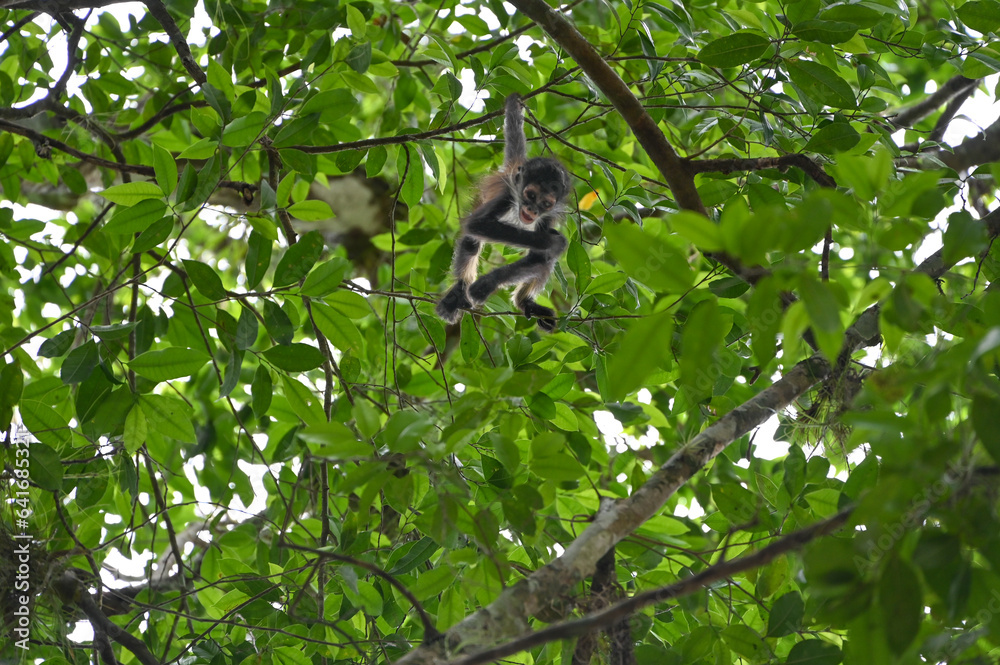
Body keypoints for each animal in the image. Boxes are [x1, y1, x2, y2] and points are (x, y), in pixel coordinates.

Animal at [435, 93, 571, 332]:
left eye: (546, 203)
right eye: (530, 195)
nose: (532, 210)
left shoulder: (547, 217)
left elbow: (539, 256)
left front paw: (490, 282)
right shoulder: (506, 197)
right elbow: (477, 225)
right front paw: (552, 242)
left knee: (544, 262)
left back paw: (524, 302)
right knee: (472, 243)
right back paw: (459, 290)